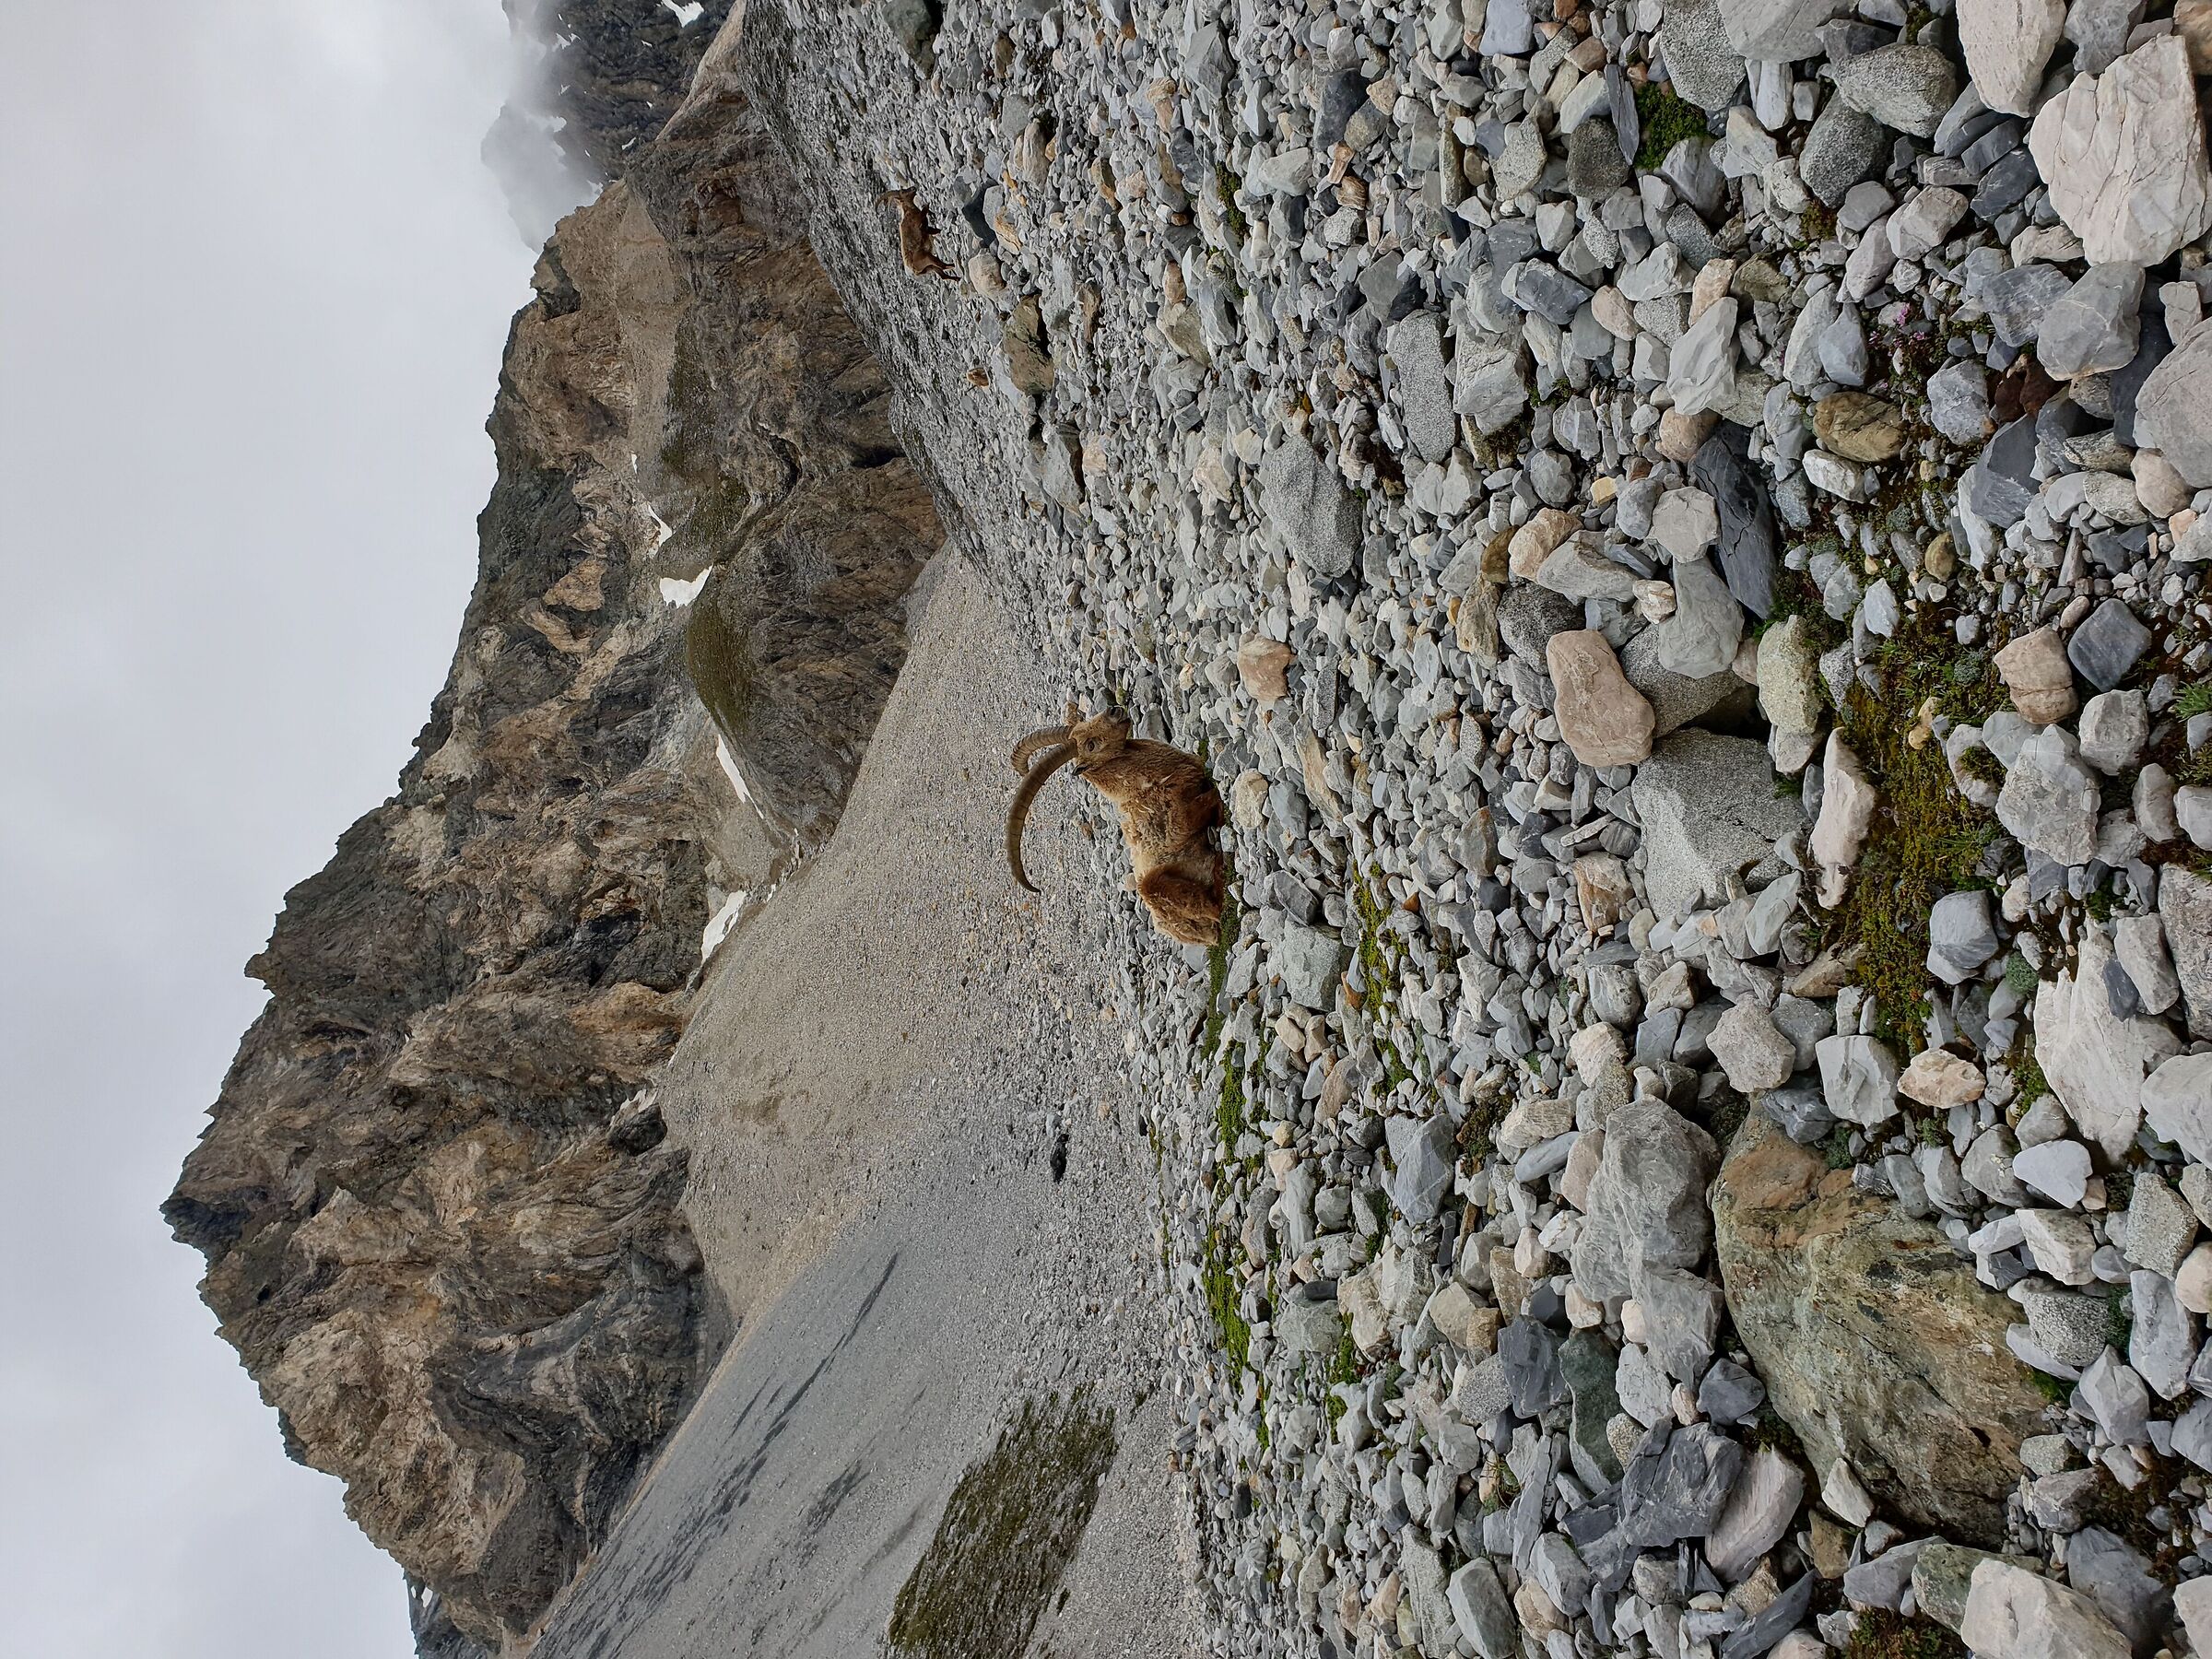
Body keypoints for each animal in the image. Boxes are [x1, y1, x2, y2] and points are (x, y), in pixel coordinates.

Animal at [1005, 712, 1226, 947]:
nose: (1113, 711)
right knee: (1213, 906)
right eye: (1091, 745)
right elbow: (1209, 802)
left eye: (1086, 723)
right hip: (1153, 886)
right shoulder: (1179, 821)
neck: (1145, 787)